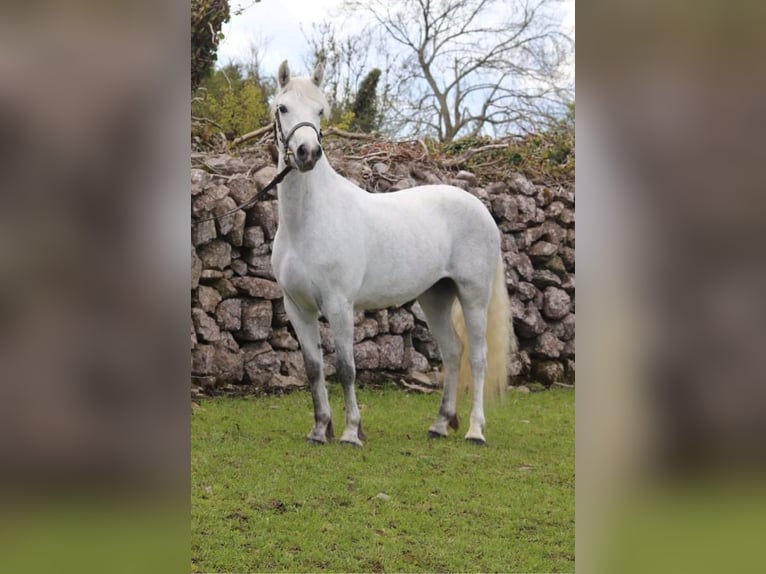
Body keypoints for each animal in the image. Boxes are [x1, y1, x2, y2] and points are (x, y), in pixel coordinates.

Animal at [270, 64, 516, 450]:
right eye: (283, 108)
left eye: (320, 111)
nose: (307, 153)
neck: (307, 222)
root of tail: (481, 209)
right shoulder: (298, 308)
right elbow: (313, 368)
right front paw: (319, 430)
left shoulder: (339, 305)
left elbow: (346, 368)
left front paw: (351, 432)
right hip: (435, 297)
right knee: (453, 352)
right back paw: (440, 424)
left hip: (473, 296)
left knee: (477, 359)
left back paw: (475, 431)